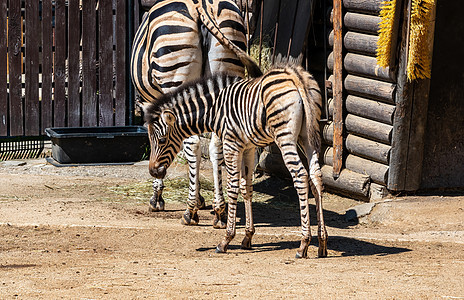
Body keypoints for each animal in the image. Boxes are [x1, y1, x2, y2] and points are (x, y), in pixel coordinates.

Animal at [130, 0, 260, 227]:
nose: (154, 170)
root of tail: (203, 7)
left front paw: (158, 197)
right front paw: (202, 199)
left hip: (175, 73)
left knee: (193, 144)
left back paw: (190, 212)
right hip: (226, 68)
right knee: (217, 144)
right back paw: (220, 211)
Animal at [140, 63, 328, 258]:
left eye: (162, 140)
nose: (153, 171)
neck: (215, 109)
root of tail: (294, 74)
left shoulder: (232, 144)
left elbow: (232, 188)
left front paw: (226, 239)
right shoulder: (249, 147)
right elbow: (247, 188)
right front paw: (248, 237)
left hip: (285, 136)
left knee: (300, 176)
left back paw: (304, 243)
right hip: (308, 136)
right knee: (316, 177)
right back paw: (322, 242)